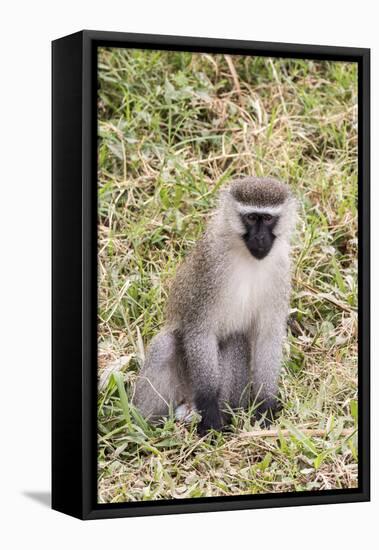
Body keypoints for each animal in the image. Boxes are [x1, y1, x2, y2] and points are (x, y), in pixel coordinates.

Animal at [133, 177, 296, 436]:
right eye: (251, 218)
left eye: (268, 219)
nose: (260, 238)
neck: (247, 257)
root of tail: (189, 402)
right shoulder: (209, 265)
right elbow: (200, 330)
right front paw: (210, 410)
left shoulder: (281, 269)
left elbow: (268, 337)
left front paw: (266, 408)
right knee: (166, 344)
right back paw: (147, 427)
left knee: (236, 339)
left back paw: (227, 415)